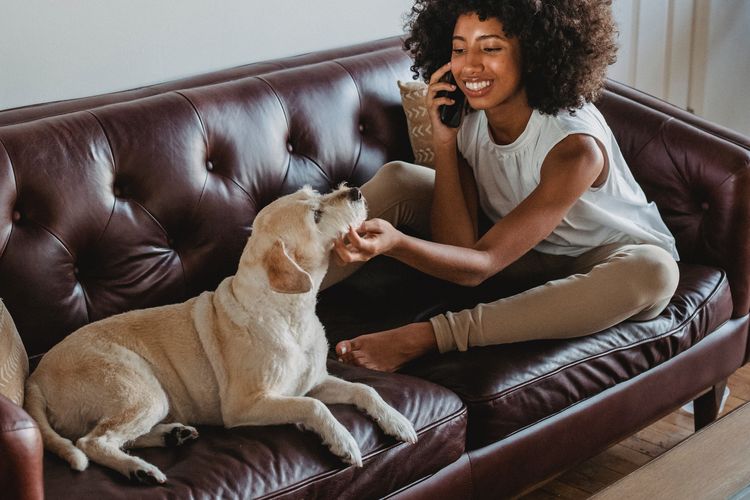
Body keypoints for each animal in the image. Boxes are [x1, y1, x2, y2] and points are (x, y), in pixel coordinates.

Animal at [23, 185, 420, 484]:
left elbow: (364, 389)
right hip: (141, 388)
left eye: (318, 194)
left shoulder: (315, 380)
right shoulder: (247, 404)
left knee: (114, 436)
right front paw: (343, 440)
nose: (354, 190)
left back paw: (170, 435)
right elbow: (313, 406)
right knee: (93, 441)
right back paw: (139, 470)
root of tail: (36, 377)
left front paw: (397, 421)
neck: (291, 312)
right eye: (316, 215)